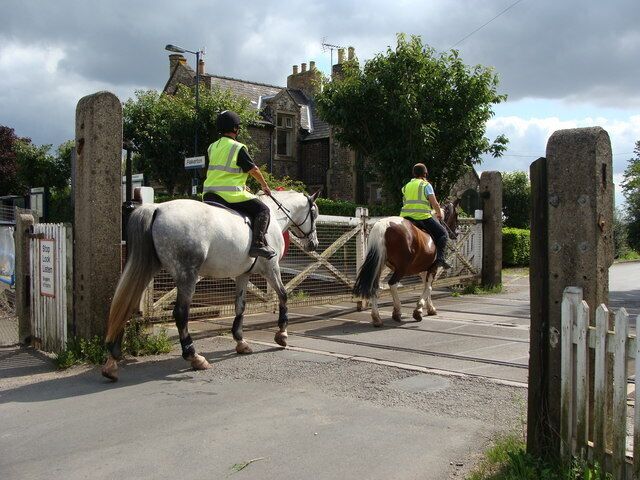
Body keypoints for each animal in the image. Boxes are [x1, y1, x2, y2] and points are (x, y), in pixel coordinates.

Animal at [101, 189, 320, 381]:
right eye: (314, 214)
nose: (314, 244)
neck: (274, 216)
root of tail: (157, 208)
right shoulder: (271, 268)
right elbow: (283, 295)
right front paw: (282, 334)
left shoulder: (243, 274)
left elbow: (240, 306)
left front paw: (240, 341)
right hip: (187, 275)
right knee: (180, 314)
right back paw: (194, 356)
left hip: (147, 267)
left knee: (126, 305)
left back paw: (112, 360)